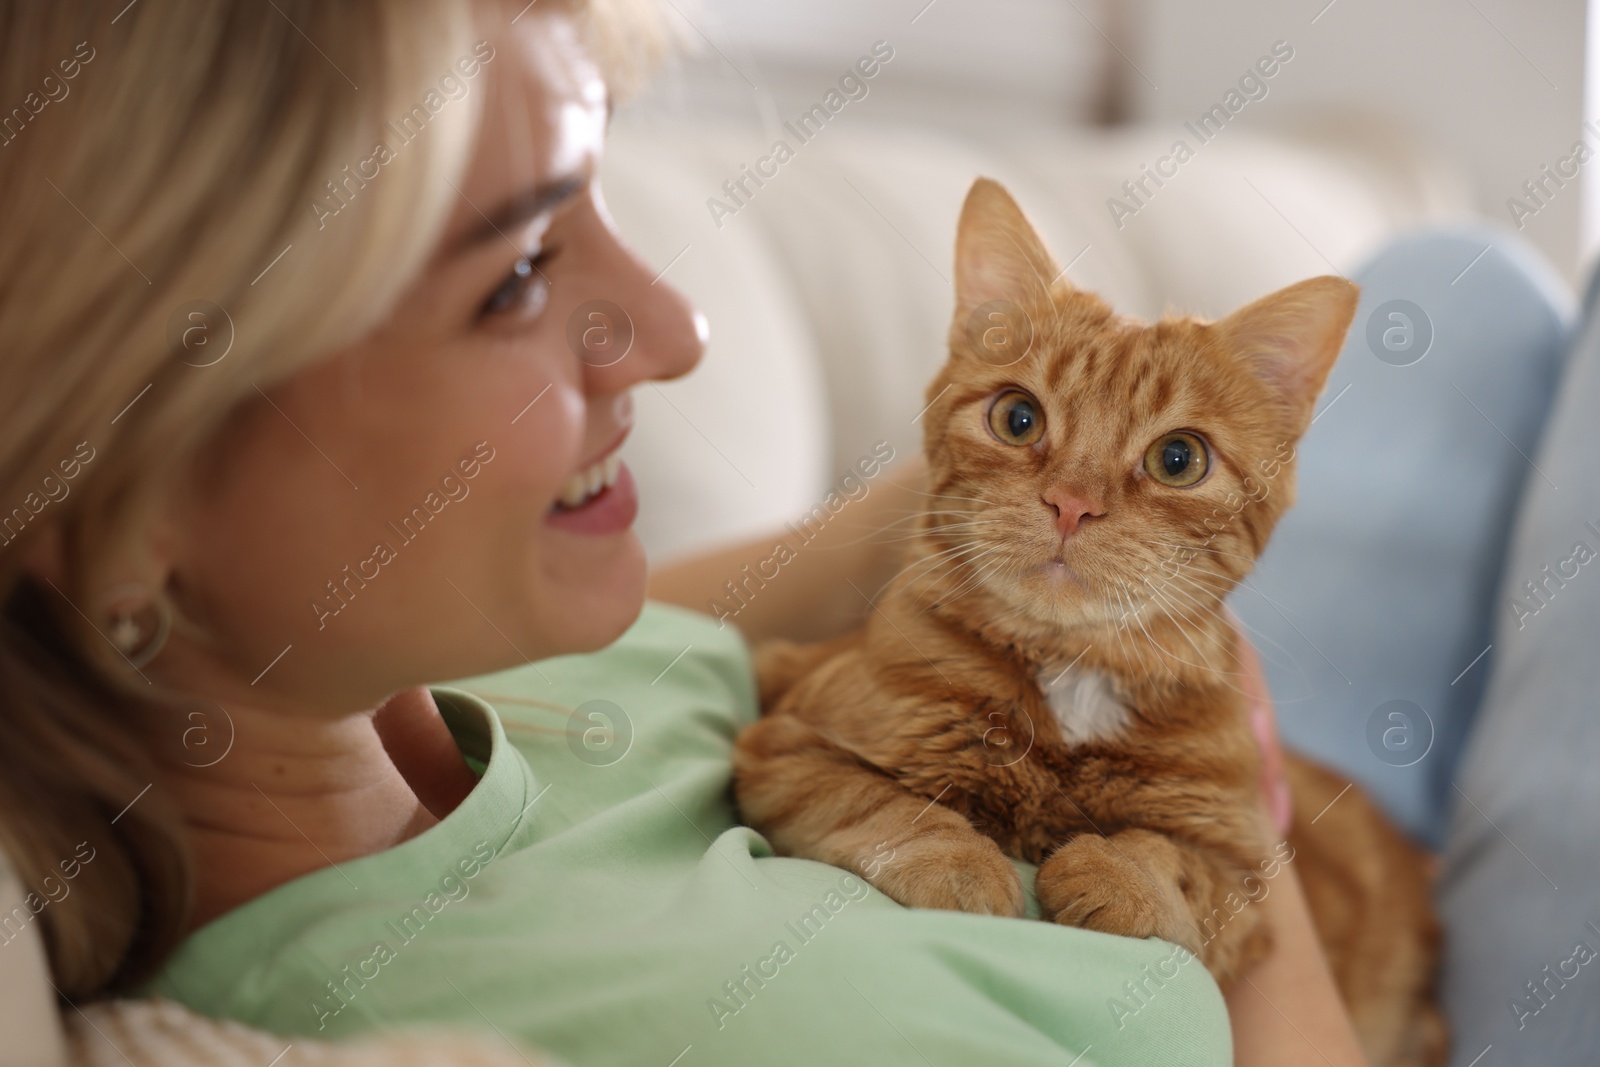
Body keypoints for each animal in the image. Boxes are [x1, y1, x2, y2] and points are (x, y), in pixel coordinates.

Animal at [736, 179, 1452, 1062]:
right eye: (1018, 418)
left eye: (1179, 459)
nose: (1072, 503)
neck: (1071, 677)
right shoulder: (786, 740)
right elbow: (885, 803)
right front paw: (959, 862)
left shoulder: (1247, 872)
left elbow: (1171, 857)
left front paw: (1117, 874)